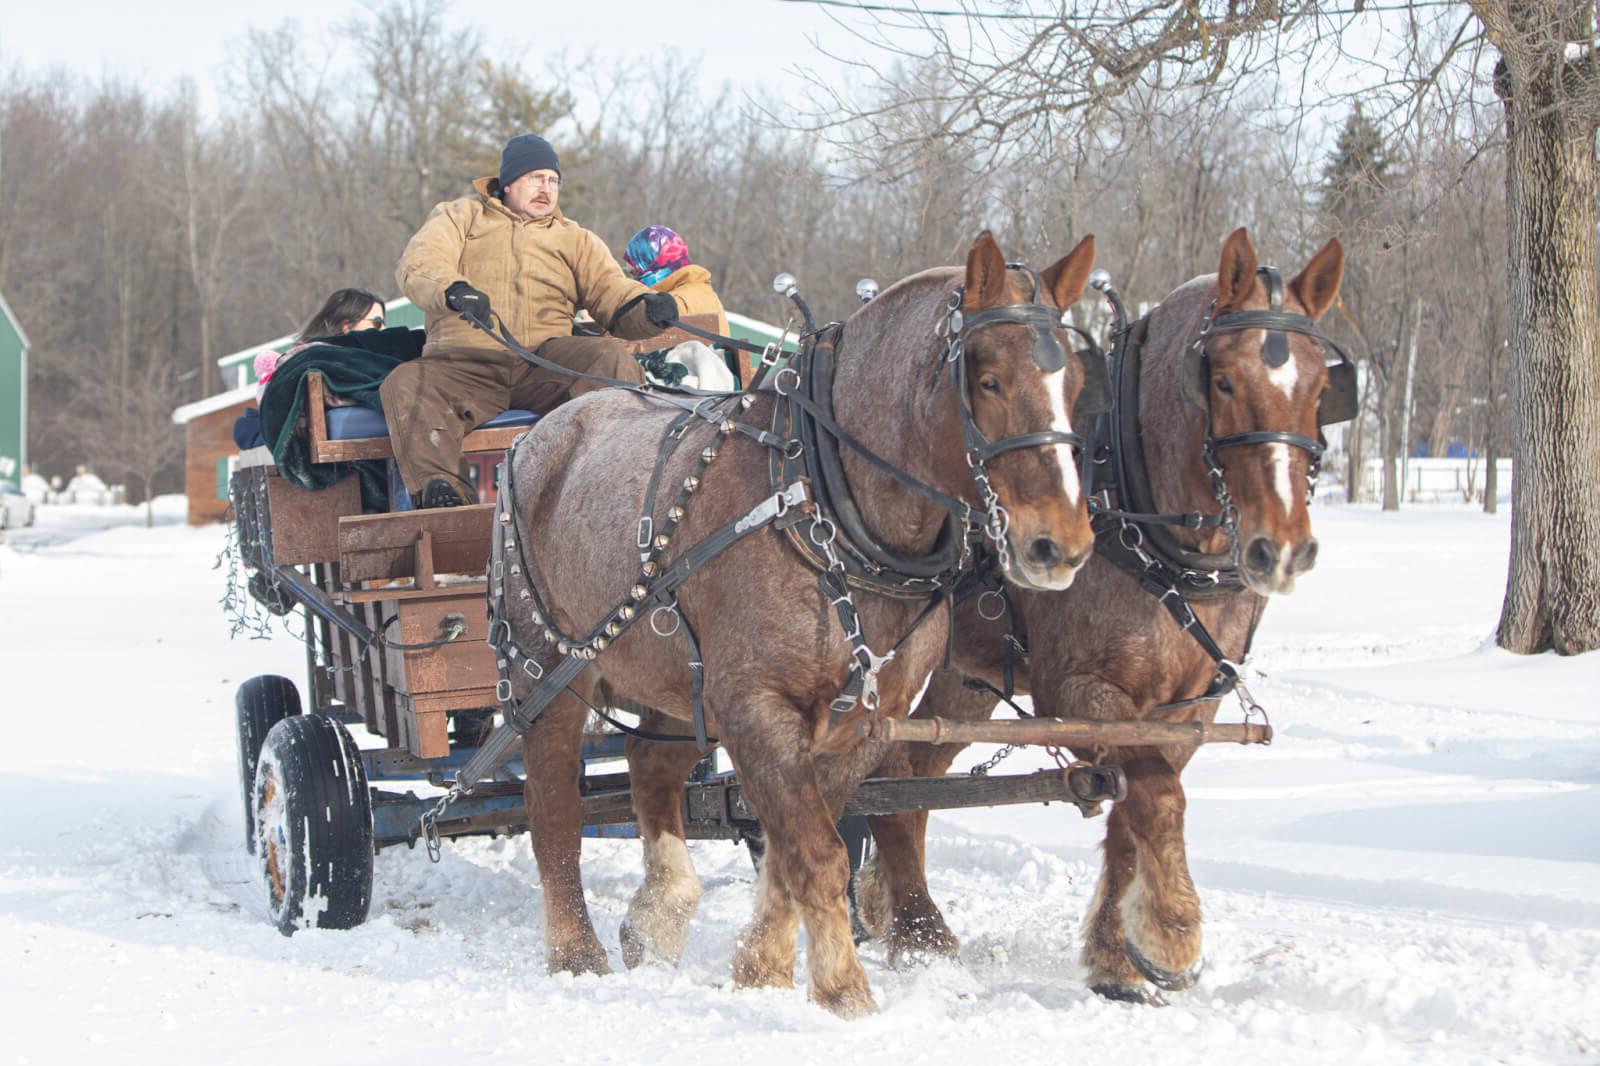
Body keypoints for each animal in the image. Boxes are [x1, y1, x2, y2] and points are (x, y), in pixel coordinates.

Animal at [499, 230, 1100, 1011]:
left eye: (1077, 383)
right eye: (989, 379)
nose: (1060, 544)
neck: (821, 500)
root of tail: (536, 437)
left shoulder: (859, 721)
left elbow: (792, 851)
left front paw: (760, 968)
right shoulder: (755, 704)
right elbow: (817, 854)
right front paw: (845, 993)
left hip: (677, 677)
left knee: (648, 764)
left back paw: (657, 917)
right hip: (548, 669)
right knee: (553, 812)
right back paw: (576, 952)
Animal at [857, 228, 1344, 998]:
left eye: (1321, 388)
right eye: (1223, 381)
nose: (1283, 548)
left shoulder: (1184, 707)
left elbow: (1135, 809)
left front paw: (1119, 957)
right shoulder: (1079, 690)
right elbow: (1155, 795)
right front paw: (1173, 933)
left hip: (964, 678)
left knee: (907, 769)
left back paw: (898, 912)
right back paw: (916, 929)